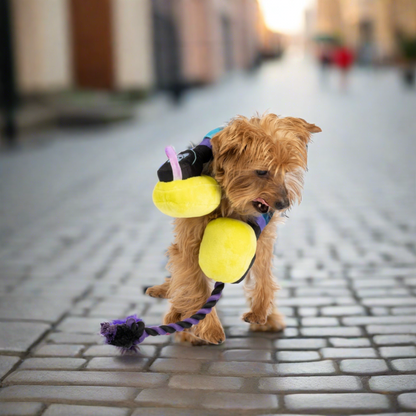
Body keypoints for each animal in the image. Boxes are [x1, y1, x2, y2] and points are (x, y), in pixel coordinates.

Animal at [146, 113, 322, 344]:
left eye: (286, 170)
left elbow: (263, 274)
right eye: (262, 171)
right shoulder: (190, 244)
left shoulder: (261, 239)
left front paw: (260, 312)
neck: (231, 203)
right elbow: (194, 285)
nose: (284, 204)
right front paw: (209, 328)